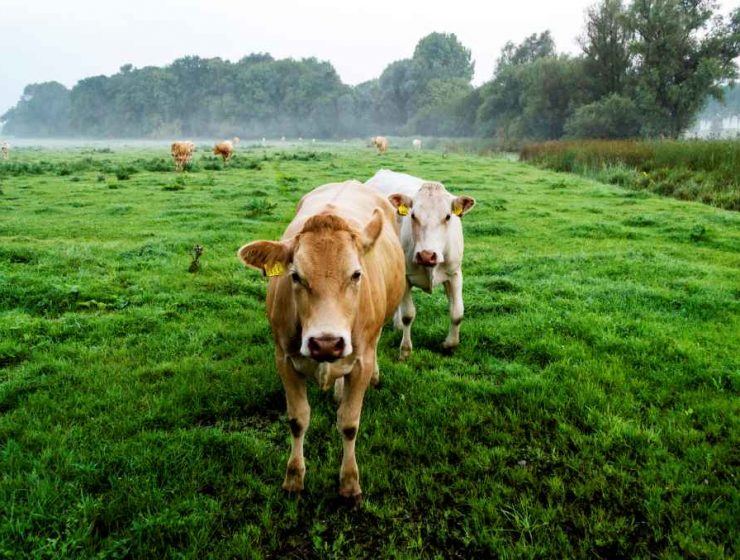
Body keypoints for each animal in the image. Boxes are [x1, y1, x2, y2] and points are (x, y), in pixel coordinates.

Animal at [237, 180, 406, 504]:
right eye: (295, 276)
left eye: (356, 274)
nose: (327, 343)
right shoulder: (284, 359)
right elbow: (298, 419)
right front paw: (293, 477)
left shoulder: (361, 360)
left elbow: (349, 423)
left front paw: (350, 483)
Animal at [365, 169, 476, 360]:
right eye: (413, 215)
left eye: (447, 216)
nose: (426, 255)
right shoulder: (405, 277)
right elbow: (408, 315)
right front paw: (405, 350)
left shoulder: (454, 274)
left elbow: (457, 313)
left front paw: (449, 345)